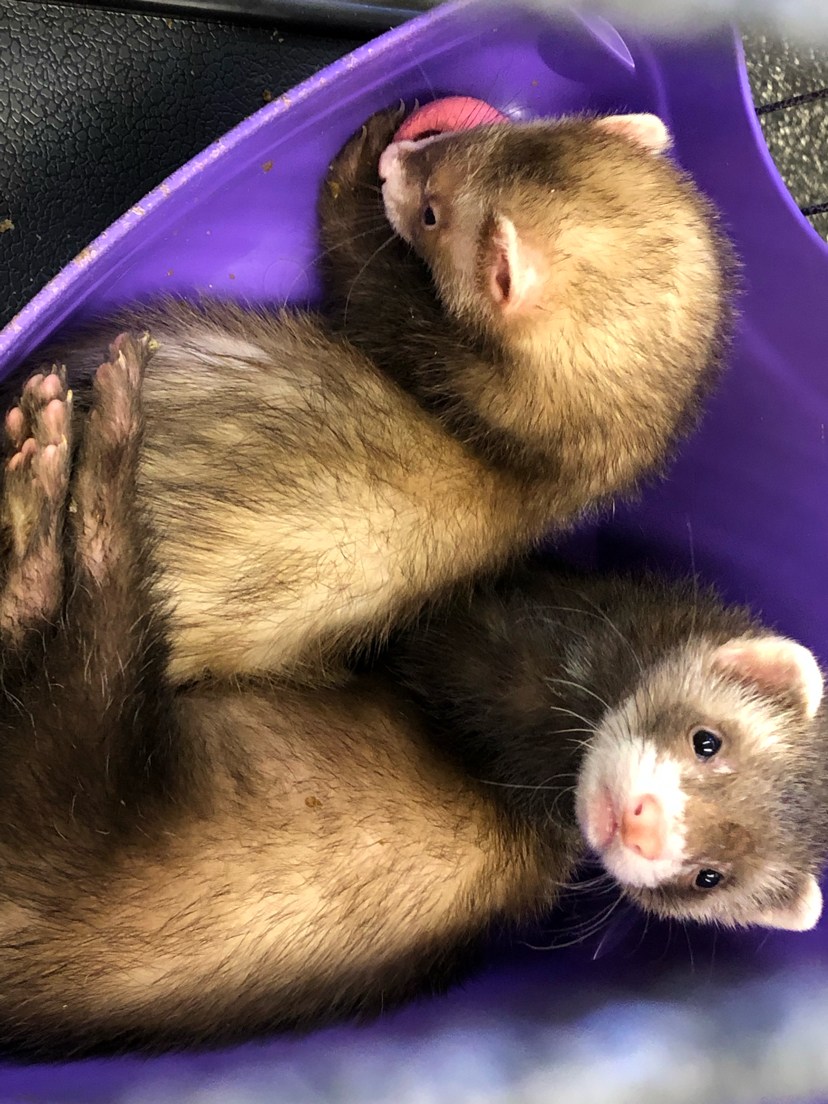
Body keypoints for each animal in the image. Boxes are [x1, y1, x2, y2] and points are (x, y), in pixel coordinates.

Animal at [0, 338, 822, 1063]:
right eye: (708, 741)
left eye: (709, 880)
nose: (643, 827)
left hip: (85, 763)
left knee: (80, 612)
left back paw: (73, 453)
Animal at [16, 105, 735, 685]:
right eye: (504, 133)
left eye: (433, 213)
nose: (395, 160)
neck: (536, 460)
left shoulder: (412, 341)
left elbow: (358, 268)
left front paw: (359, 158)